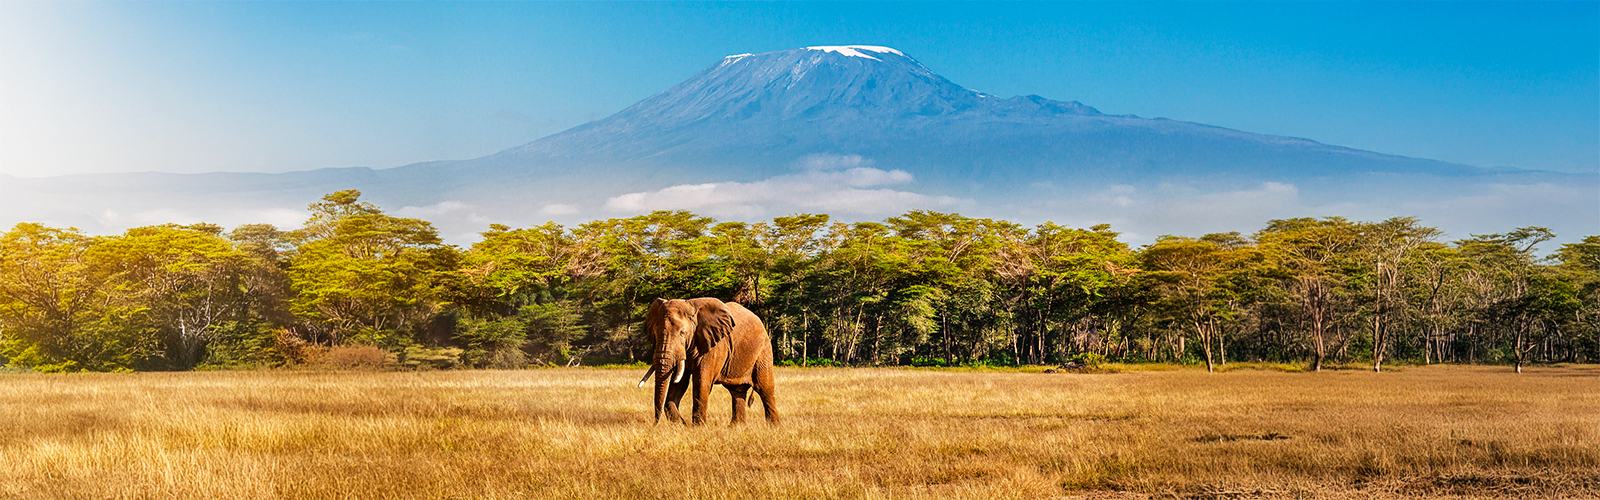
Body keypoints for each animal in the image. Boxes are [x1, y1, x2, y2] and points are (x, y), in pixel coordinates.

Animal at [633, 296, 777, 426]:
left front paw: (698, 427)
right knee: (737, 391)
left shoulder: (714, 345)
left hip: (763, 350)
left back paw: (773, 427)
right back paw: (736, 427)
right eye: (655, 333)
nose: (654, 424)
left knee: (765, 388)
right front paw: (682, 424)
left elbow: (702, 381)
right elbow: (679, 383)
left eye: (682, 333)